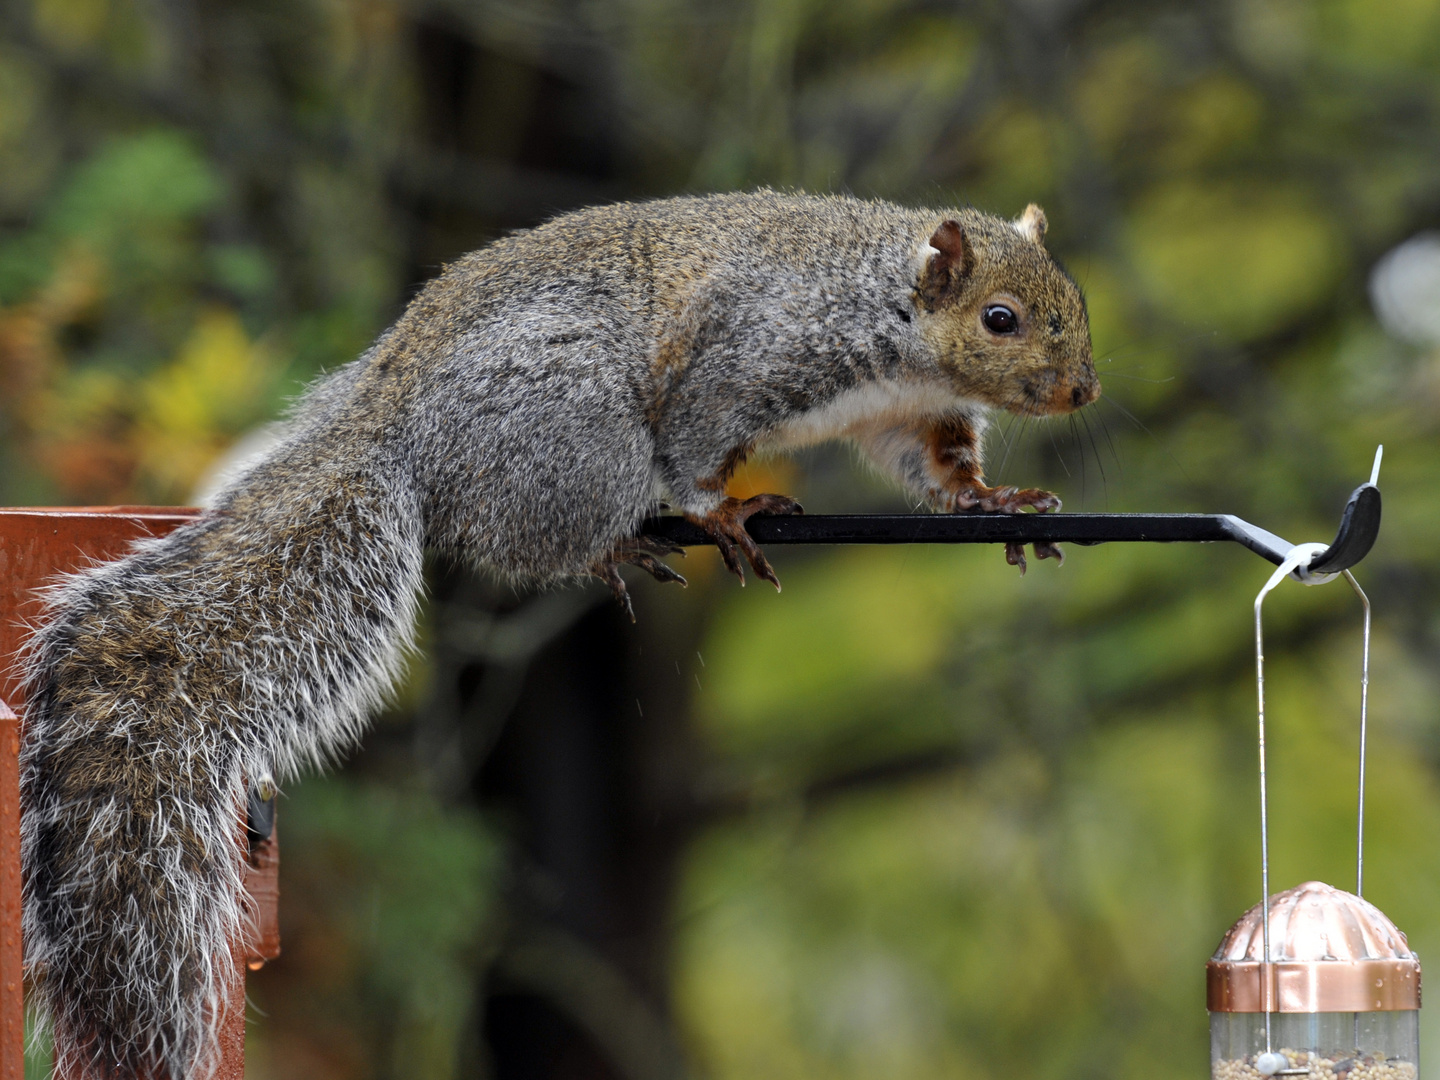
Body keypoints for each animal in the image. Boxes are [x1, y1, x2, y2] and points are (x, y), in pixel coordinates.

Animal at [16, 190, 1088, 1077]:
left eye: (1074, 302)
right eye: (998, 318)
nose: (1082, 392)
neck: (885, 310)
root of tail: (391, 417)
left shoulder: (913, 411)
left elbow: (938, 465)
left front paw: (999, 502)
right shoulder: (747, 358)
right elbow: (699, 445)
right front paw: (725, 513)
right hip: (576, 432)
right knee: (526, 535)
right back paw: (618, 545)